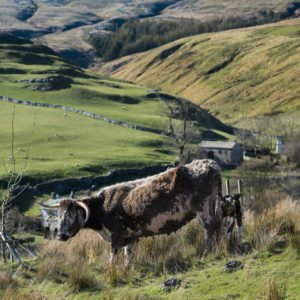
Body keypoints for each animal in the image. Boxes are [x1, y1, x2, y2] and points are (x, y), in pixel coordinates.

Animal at [44, 158, 223, 266]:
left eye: (70, 214)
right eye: (58, 215)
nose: (60, 235)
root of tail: (207, 163)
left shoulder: (116, 236)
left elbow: (113, 259)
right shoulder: (130, 238)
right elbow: (128, 258)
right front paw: (126, 272)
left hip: (203, 208)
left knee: (209, 229)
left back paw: (207, 254)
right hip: (212, 205)